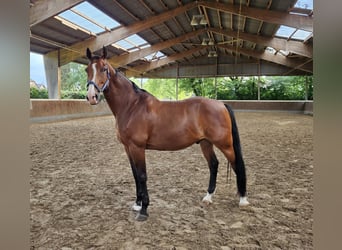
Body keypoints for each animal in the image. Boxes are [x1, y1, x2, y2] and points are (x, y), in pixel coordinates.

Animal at [85, 47, 250, 221]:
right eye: (87, 70)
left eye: (104, 69)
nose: (91, 96)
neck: (132, 106)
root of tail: (221, 104)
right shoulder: (128, 148)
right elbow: (135, 175)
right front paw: (137, 204)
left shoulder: (137, 148)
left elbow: (142, 176)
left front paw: (144, 210)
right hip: (205, 143)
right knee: (213, 164)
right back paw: (208, 197)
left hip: (225, 145)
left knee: (237, 165)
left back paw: (243, 200)